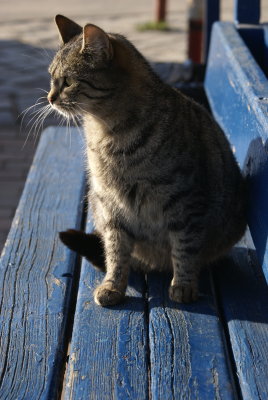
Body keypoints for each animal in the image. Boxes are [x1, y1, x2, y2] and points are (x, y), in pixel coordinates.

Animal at [48, 13, 247, 306]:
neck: (106, 132)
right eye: (51, 78)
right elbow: (116, 253)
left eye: (68, 82)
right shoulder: (110, 207)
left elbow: (185, 249)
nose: (50, 98)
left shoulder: (186, 203)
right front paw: (112, 286)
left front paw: (183, 285)